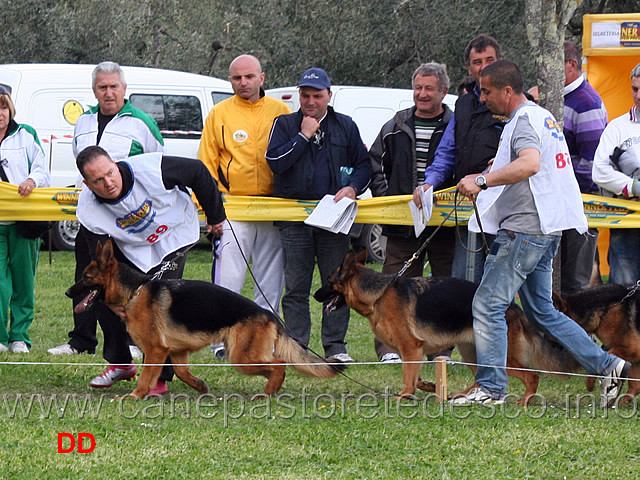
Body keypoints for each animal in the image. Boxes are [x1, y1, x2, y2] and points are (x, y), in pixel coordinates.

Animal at [66, 238, 344, 400]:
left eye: (87, 277)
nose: (68, 293)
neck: (135, 291)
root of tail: (269, 314)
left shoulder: (156, 350)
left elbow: (146, 377)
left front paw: (136, 396)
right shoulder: (176, 351)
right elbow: (181, 372)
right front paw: (199, 386)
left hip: (241, 358)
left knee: (279, 364)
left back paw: (269, 392)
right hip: (243, 356)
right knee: (277, 365)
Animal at [318, 249, 584, 404]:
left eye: (329, 281)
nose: (314, 295)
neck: (379, 294)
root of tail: (513, 307)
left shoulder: (410, 348)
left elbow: (407, 376)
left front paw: (405, 395)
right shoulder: (413, 352)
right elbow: (415, 376)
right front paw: (428, 386)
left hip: (502, 357)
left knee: (531, 376)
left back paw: (524, 401)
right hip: (471, 351)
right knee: (481, 378)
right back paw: (462, 395)